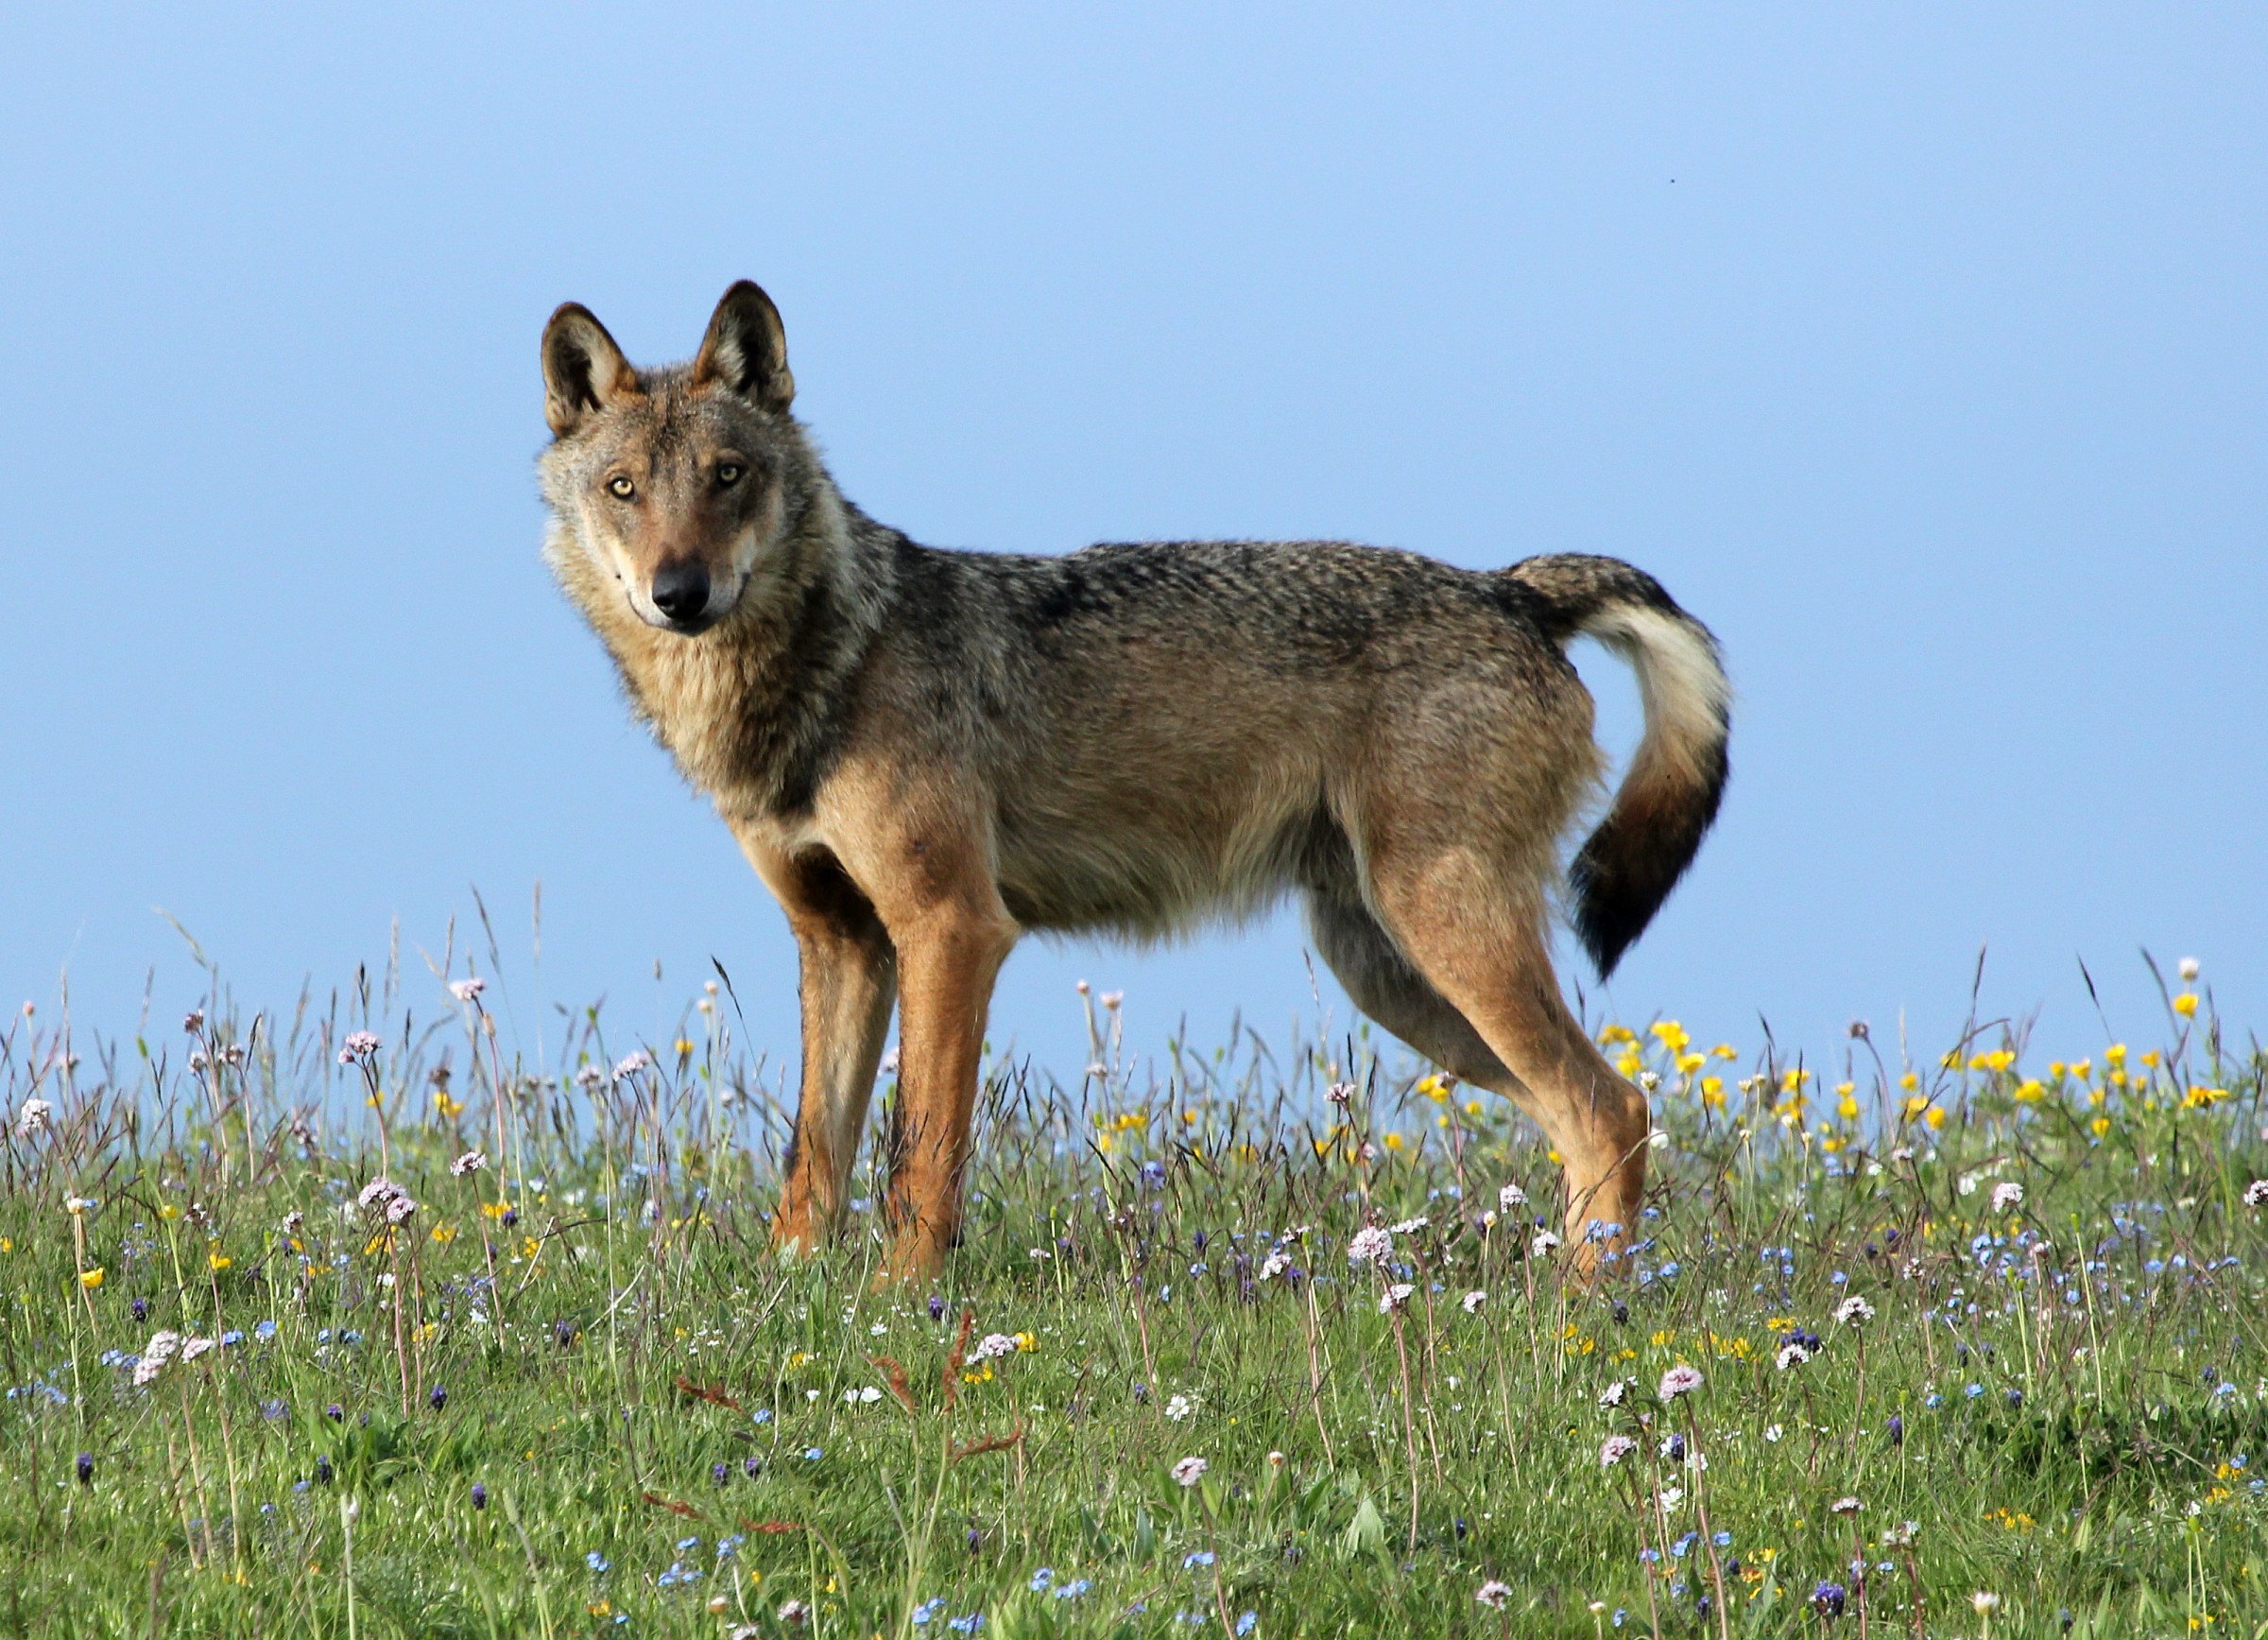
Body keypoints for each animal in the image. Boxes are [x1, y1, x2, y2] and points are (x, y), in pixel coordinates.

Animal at [537, 281, 1729, 1279]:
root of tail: (1513, 590)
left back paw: (1581, 1322)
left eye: (728, 478)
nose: (679, 593)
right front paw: (790, 1291)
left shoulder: (953, 926)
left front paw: (905, 1300)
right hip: (1395, 976)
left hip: (1444, 941)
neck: (826, 665)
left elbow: (922, 1155)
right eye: (625, 489)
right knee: (1597, 1114)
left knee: (1609, 1107)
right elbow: (813, 1157)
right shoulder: (841, 943)